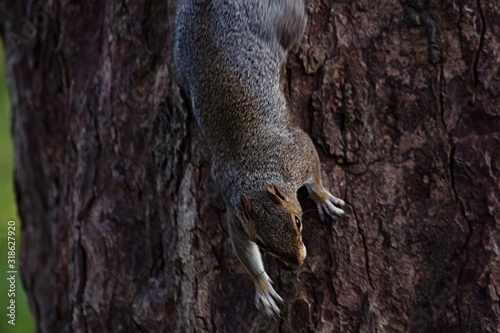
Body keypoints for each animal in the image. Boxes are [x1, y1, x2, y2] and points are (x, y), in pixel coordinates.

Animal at [172, 0, 344, 316]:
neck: (256, 178)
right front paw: (262, 287)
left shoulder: (298, 152)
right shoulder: (238, 217)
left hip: (283, 20)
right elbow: (242, 250)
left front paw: (323, 199)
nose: (296, 264)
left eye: (298, 222)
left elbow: (314, 172)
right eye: (261, 242)